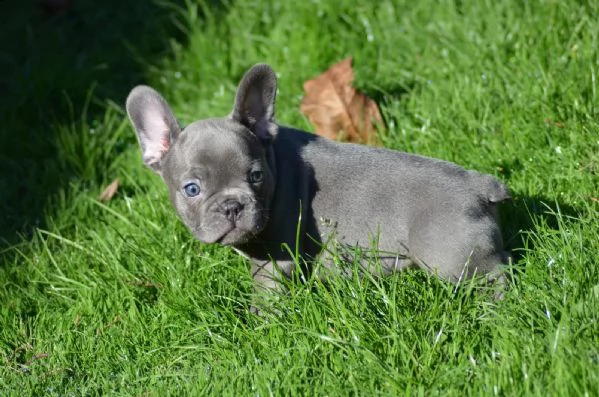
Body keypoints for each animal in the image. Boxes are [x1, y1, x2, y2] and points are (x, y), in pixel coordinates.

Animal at [126, 62, 510, 310]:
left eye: (256, 176)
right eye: (192, 189)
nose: (233, 206)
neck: (274, 161)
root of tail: (479, 184)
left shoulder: (273, 262)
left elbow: (266, 298)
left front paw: (260, 325)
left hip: (449, 259)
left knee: (493, 279)